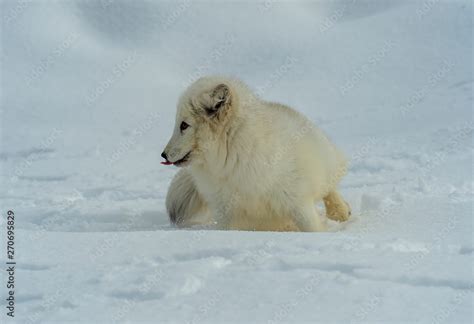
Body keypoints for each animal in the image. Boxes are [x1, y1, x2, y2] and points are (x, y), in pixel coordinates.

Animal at [161, 77, 350, 232]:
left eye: (184, 125)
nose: (163, 155)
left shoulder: (297, 201)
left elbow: (313, 229)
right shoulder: (225, 213)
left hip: (326, 165)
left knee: (329, 187)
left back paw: (340, 211)